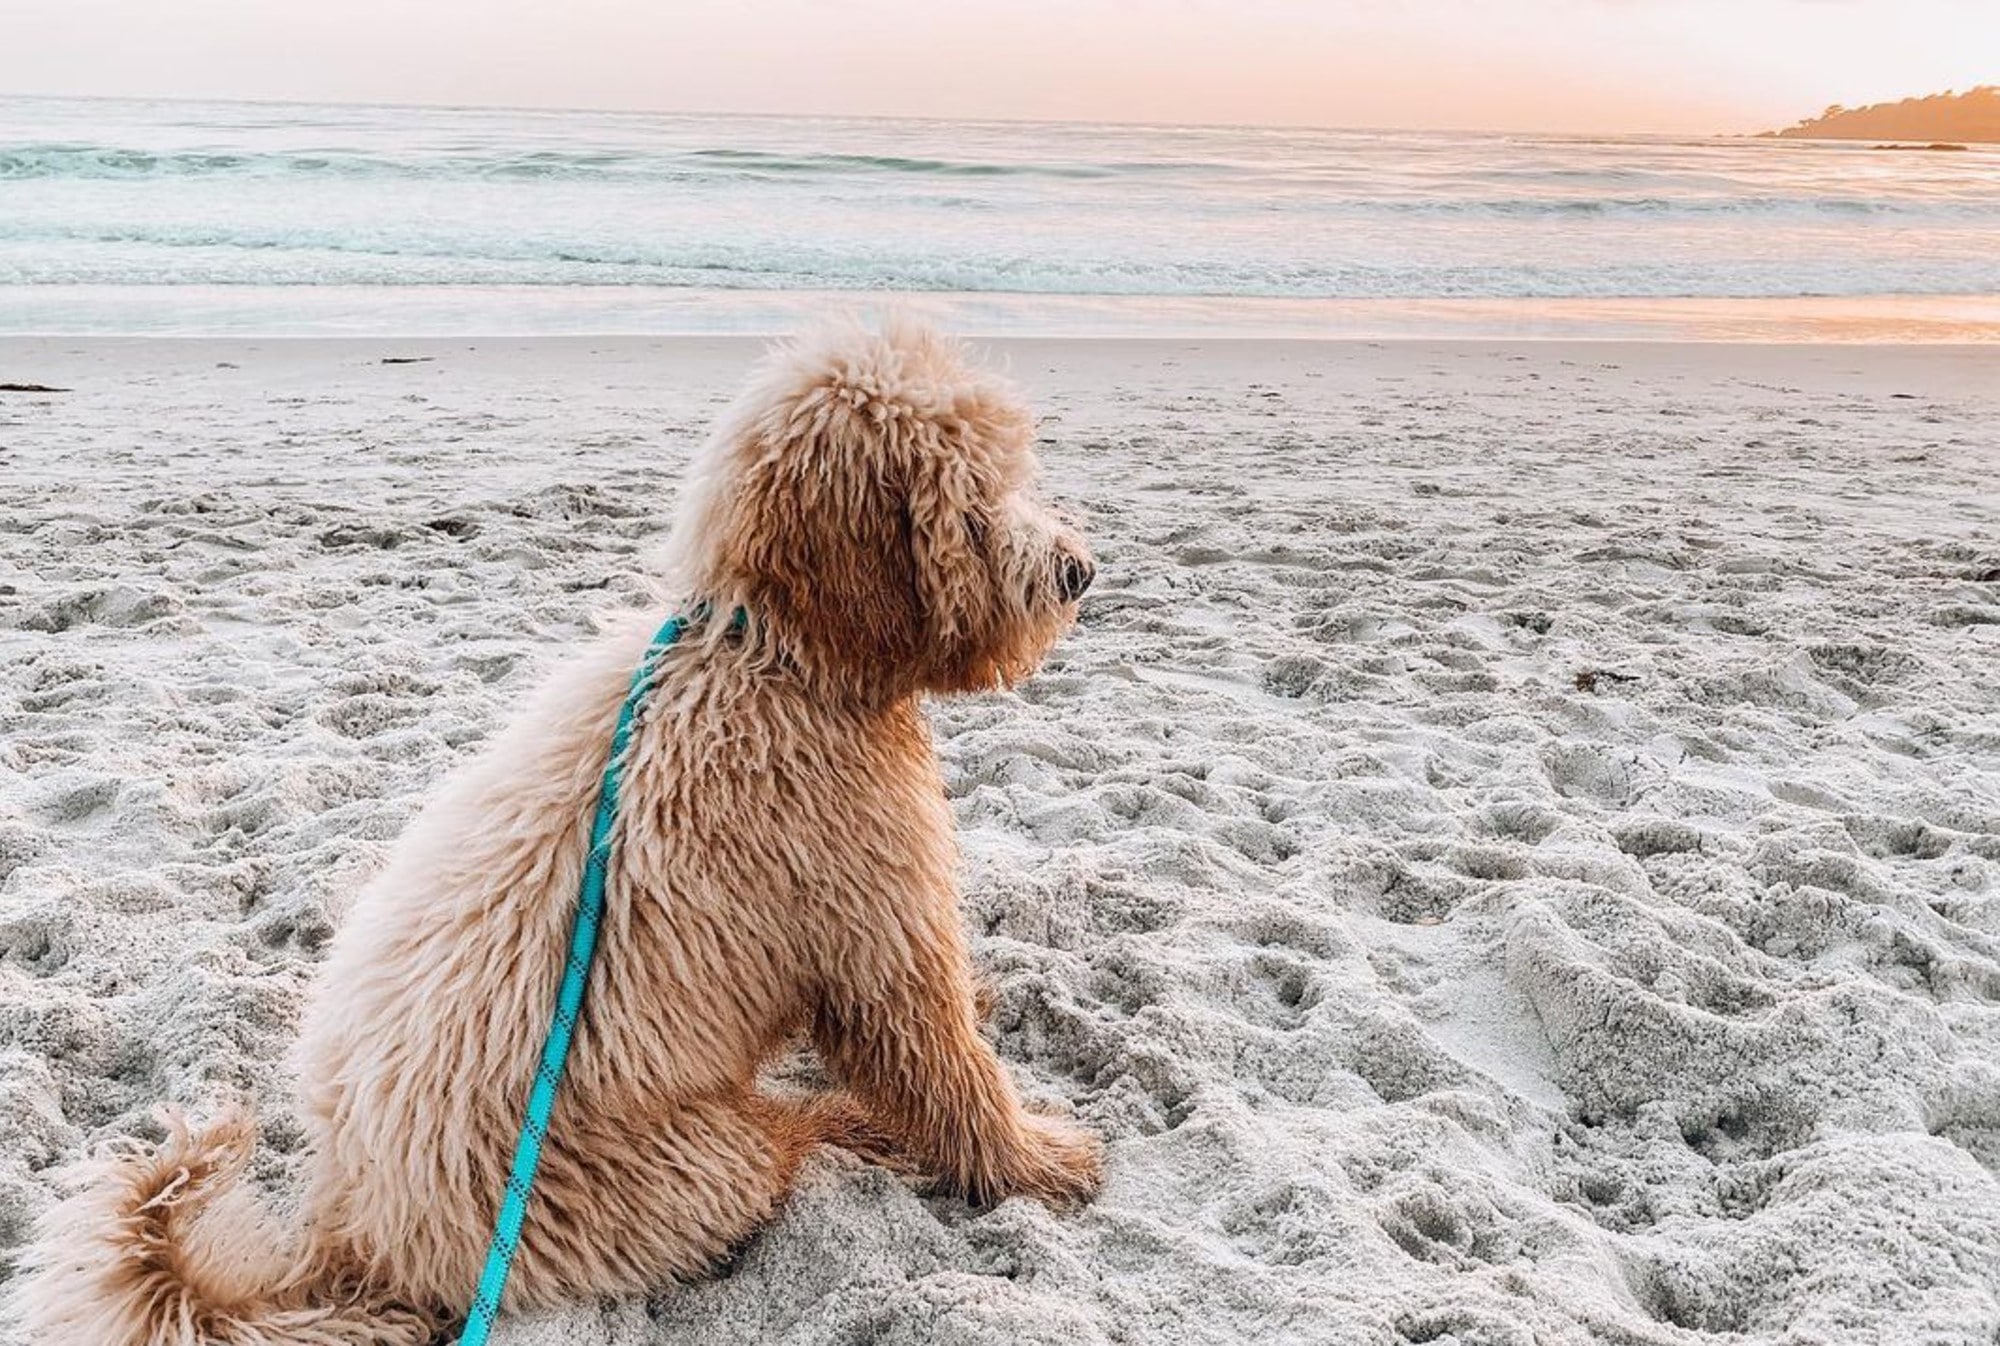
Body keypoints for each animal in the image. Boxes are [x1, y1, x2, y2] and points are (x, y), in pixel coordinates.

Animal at [19, 320, 1112, 1336]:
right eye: (972, 501)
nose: (1080, 571)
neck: (767, 653)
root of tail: (361, 1231)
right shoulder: (876, 925)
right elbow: (945, 1066)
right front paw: (1039, 1162)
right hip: (697, 1163)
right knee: (787, 1143)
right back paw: (844, 1125)